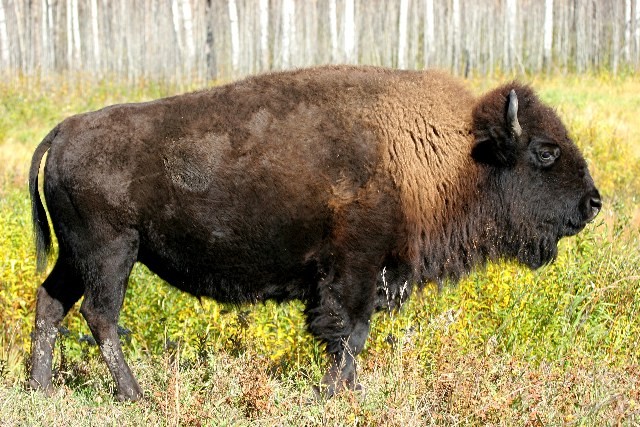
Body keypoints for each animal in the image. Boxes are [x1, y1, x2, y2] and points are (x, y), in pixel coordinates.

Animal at [27, 66, 600, 402]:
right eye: (545, 151)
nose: (592, 203)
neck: (445, 151)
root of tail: (64, 129)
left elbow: (350, 336)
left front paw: (344, 393)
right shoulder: (354, 268)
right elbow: (349, 332)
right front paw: (335, 394)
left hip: (78, 257)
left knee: (50, 303)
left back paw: (43, 391)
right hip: (111, 252)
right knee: (99, 314)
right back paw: (135, 396)